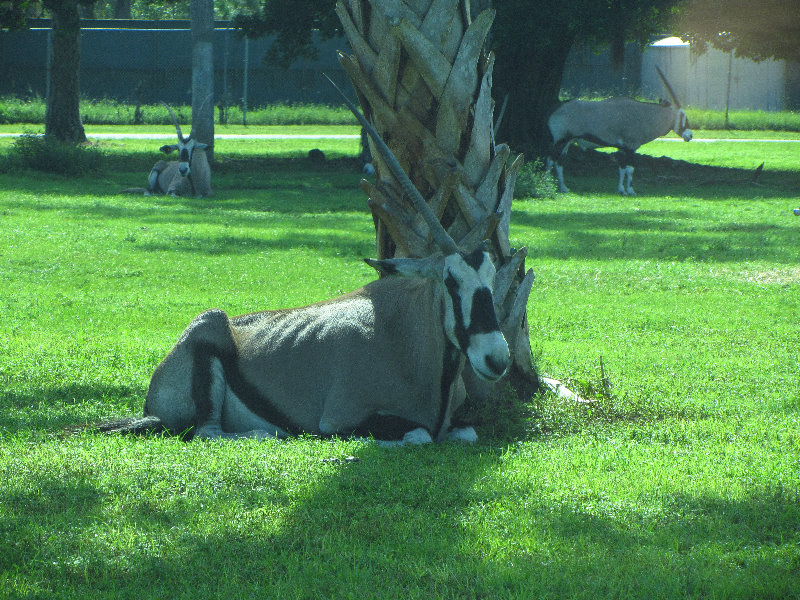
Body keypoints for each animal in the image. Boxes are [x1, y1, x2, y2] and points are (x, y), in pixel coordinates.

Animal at [100, 84, 516, 446]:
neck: (409, 336)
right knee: (209, 432)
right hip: (209, 357)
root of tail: (152, 397)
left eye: (492, 278)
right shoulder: (342, 417)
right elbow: (418, 435)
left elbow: (464, 433)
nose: (497, 359)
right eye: (450, 281)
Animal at [548, 66, 692, 196]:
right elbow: (630, 169)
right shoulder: (630, 148)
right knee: (550, 159)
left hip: (567, 143)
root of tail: (556, 109)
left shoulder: (622, 148)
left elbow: (621, 169)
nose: (690, 135)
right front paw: (631, 191)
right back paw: (548, 184)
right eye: (683, 116)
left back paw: (564, 188)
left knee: (559, 162)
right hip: (560, 141)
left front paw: (621, 190)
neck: (645, 115)